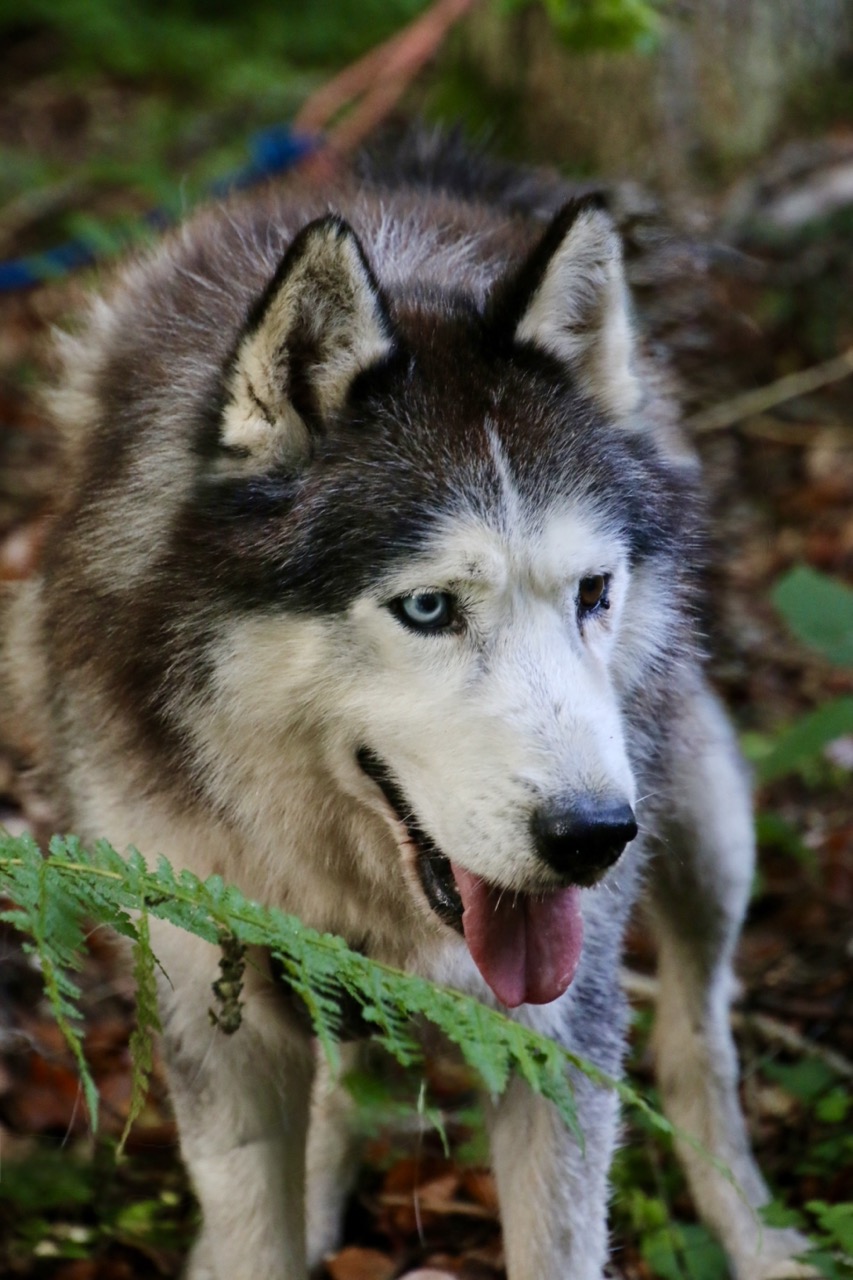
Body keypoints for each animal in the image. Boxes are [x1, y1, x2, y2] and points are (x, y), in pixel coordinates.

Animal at [0, 132, 808, 1280]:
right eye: (427, 607)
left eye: (591, 593)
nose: (591, 838)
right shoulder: (215, 1004)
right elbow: (254, 1224)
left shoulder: (559, 1029)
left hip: (698, 818)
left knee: (699, 1037)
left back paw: (756, 1232)